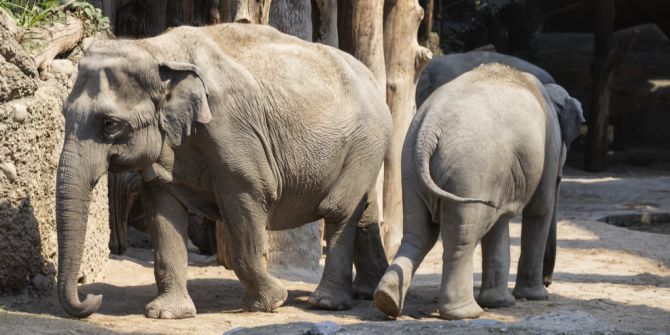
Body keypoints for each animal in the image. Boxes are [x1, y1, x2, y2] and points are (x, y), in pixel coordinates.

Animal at [58, 24, 394, 320]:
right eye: (63, 113)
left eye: (110, 124)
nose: (93, 295)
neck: (157, 50)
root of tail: (372, 79)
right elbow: (163, 213)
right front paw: (166, 314)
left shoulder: (233, 133)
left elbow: (246, 205)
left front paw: (269, 302)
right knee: (364, 211)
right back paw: (371, 293)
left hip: (365, 141)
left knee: (339, 210)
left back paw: (326, 303)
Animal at [376, 64, 584, 322]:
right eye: (560, 177)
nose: (548, 282)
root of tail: (427, 133)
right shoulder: (549, 146)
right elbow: (539, 210)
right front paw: (535, 297)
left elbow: (499, 225)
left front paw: (501, 303)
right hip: (470, 171)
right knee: (462, 237)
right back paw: (466, 313)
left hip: (410, 167)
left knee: (419, 233)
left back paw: (387, 299)